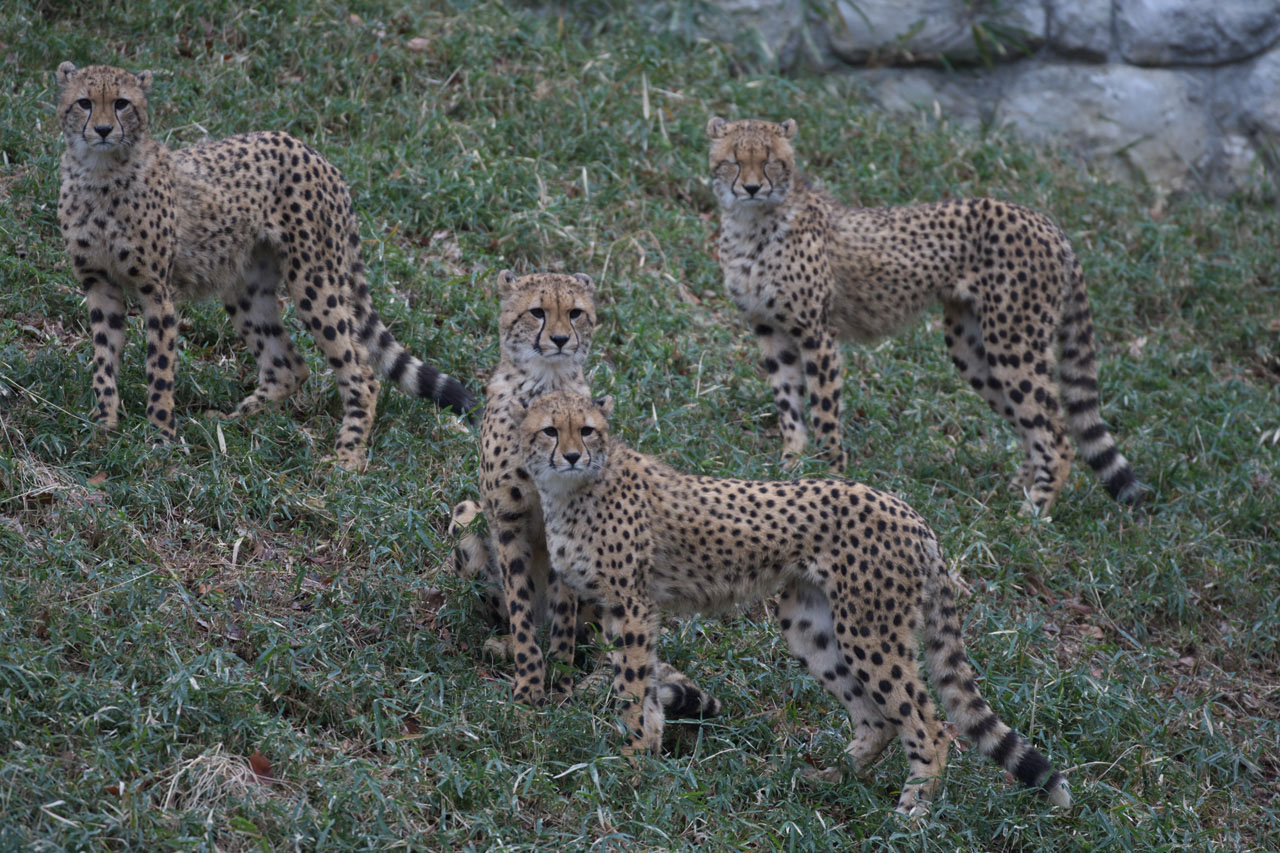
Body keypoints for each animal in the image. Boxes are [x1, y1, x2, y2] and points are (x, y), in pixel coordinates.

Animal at [53, 62, 476, 468]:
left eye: (122, 103)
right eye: (84, 103)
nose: (103, 130)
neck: (100, 172)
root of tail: (312, 151)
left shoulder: (157, 292)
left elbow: (159, 370)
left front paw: (160, 438)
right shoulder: (98, 285)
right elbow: (104, 360)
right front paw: (103, 426)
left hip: (313, 280)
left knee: (362, 372)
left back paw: (348, 453)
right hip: (245, 287)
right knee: (290, 364)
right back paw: (234, 420)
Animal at [455, 268, 721, 712]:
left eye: (576, 312)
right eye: (537, 312)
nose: (561, 339)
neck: (546, 384)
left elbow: (566, 621)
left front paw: (560, 685)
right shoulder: (507, 518)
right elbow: (521, 606)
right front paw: (529, 684)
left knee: (602, 644)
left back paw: (593, 683)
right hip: (466, 519)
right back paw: (505, 646)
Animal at [517, 389, 1070, 814]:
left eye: (587, 430)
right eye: (550, 431)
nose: (572, 455)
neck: (573, 489)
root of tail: (912, 514)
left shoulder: (629, 605)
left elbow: (632, 691)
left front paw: (630, 765)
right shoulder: (635, 609)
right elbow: (647, 689)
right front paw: (648, 755)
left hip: (870, 631)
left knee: (929, 724)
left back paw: (912, 809)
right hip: (810, 624)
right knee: (877, 719)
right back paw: (828, 778)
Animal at [711, 112, 1141, 512]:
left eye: (770, 161)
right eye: (733, 160)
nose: (751, 188)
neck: (753, 225)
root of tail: (1050, 224)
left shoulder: (817, 334)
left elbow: (824, 409)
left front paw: (829, 473)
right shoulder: (769, 329)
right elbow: (788, 403)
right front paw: (791, 464)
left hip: (1013, 342)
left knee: (1056, 434)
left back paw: (1032, 513)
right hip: (972, 348)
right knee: (1031, 425)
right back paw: (1013, 494)